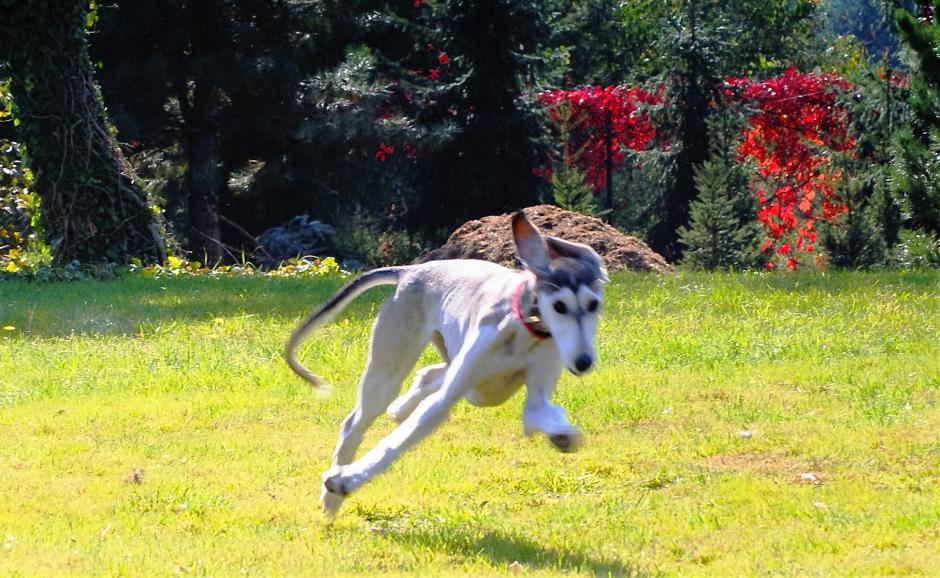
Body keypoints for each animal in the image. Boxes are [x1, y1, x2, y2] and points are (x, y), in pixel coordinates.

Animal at [286, 209, 608, 516]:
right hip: (389, 368)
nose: (583, 362)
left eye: (594, 305)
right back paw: (332, 497)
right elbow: (396, 442)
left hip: (467, 377)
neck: (523, 327)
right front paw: (344, 482)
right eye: (559, 306)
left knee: (429, 374)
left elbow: (537, 413)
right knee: (354, 424)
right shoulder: (444, 399)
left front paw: (562, 435)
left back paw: (400, 407)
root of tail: (411, 270)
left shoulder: (539, 387)